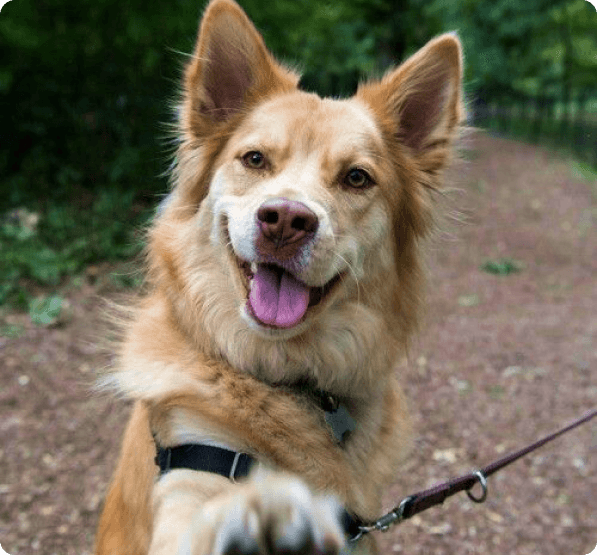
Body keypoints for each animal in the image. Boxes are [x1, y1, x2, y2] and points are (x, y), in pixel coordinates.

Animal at [94, 2, 460, 552]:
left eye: (356, 177)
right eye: (255, 159)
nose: (286, 220)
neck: (281, 380)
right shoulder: (193, 462)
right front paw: (266, 510)